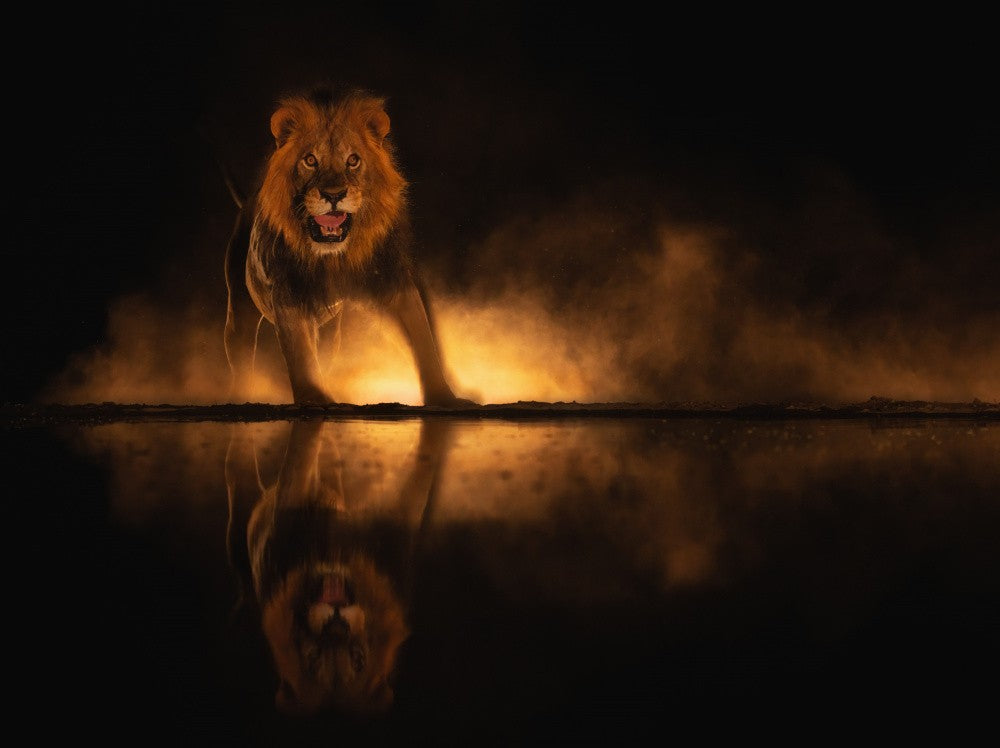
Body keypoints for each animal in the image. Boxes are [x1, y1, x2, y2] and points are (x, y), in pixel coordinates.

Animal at [224, 87, 469, 405]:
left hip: (331, 332)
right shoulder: (288, 296)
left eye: (352, 160)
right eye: (310, 160)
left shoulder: (395, 283)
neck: (333, 258)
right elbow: (300, 355)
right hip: (239, 311)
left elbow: (423, 340)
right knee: (242, 358)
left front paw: (444, 396)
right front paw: (315, 399)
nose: (333, 195)